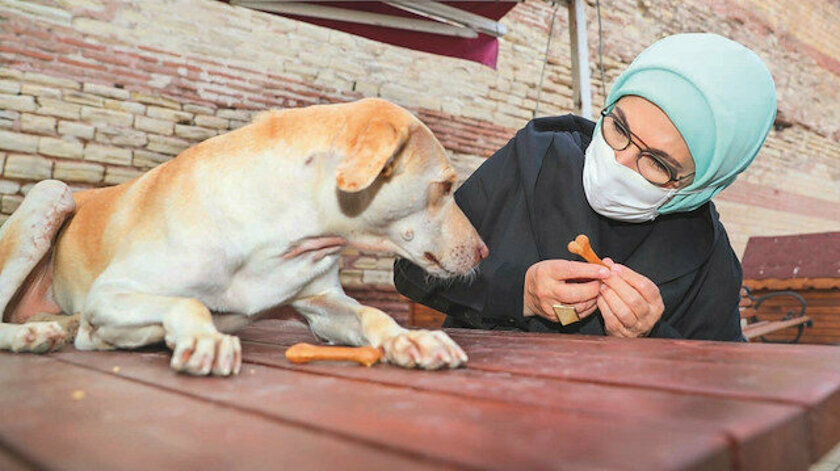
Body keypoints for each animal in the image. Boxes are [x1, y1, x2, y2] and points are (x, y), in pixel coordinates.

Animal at [0, 98, 488, 375]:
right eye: (447, 186)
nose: (485, 251)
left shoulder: (322, 304)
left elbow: (373, 313)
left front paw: (411, 338)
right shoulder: (110, 293)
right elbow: (190, 303)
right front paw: (204, 338)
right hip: (52, 192)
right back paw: (32, 335)